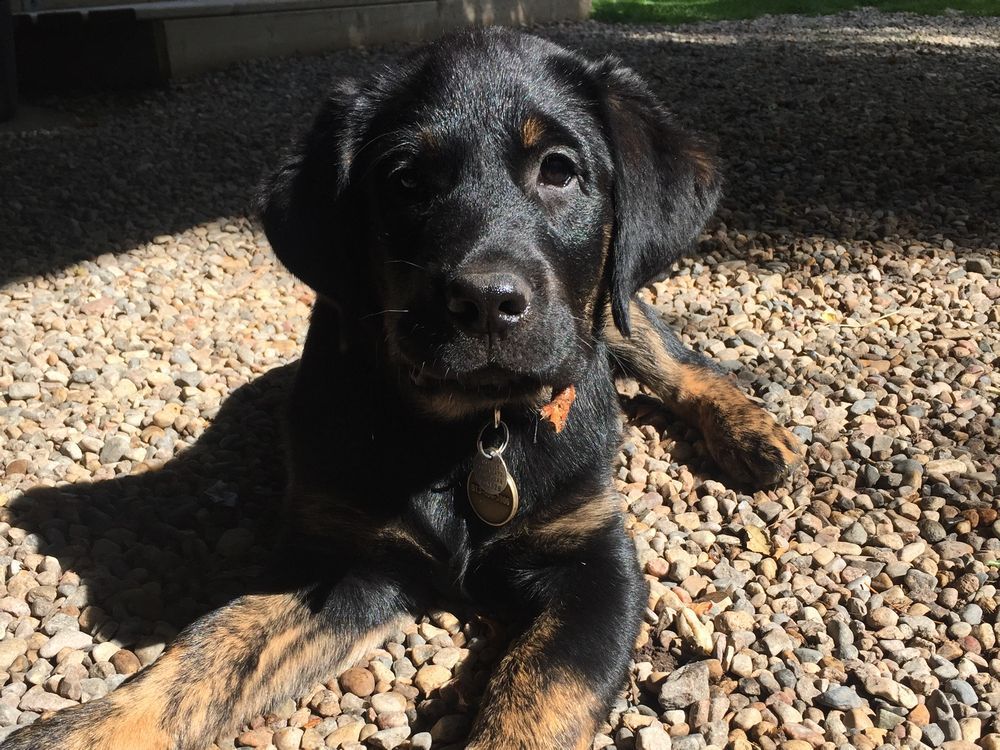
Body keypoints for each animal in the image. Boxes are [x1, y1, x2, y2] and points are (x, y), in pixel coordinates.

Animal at [3, 26, 804, 750]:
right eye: (404, 181)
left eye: (560, 170)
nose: (484, 302)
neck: (474, 434)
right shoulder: (342, 563)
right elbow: (211, 649)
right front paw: (80, 731)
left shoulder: (596, 564)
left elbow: (537, 701)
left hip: (614, 307)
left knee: (679, 361)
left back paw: (758, 434)